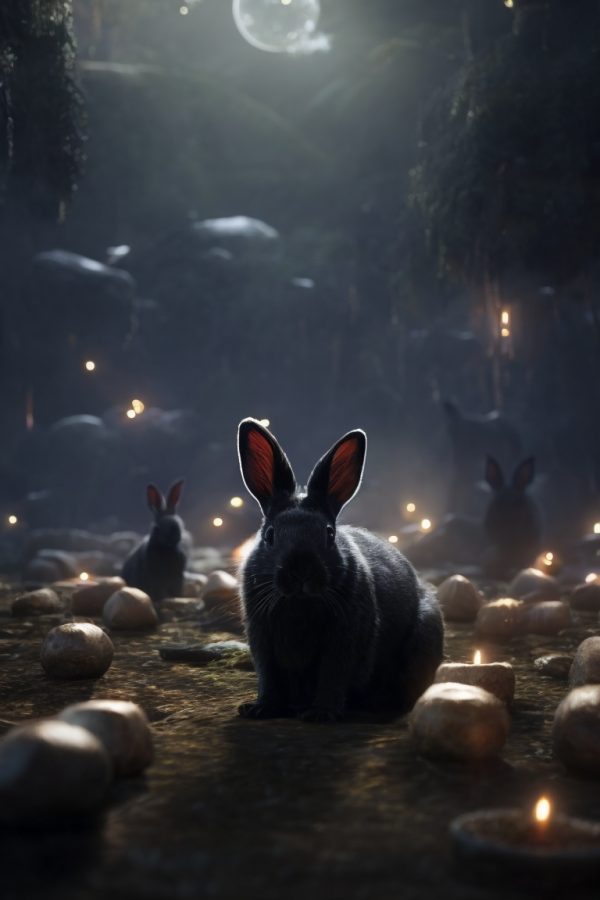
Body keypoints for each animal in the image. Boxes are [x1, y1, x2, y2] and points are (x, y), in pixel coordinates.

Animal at [236, 418, 444, 723]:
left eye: (329, 534)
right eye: (270, 535)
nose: (301, 572)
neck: (300, 604)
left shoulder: (344, 639)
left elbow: (333, 675)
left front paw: (320, 714)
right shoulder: (262, 638)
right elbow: (269, 677)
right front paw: (261, 709)